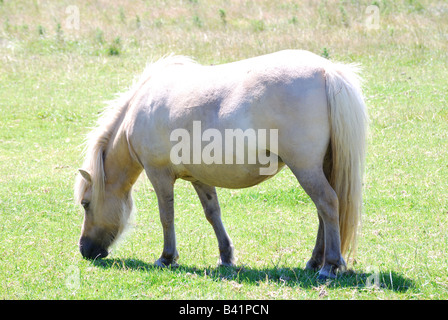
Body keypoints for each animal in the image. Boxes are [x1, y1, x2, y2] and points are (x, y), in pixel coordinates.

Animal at [73, 49, 368, 278]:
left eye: (86, 204)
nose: (84, 250)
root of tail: (326, 70)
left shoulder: (159, 175)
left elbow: (166, 216)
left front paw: (167, 257)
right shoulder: (199, 178)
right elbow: (213, 214)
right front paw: (226, 257)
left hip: (305, 168)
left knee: (328, 204)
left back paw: (329, 266)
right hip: (321, 168)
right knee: (324, 211)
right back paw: (314, 261)